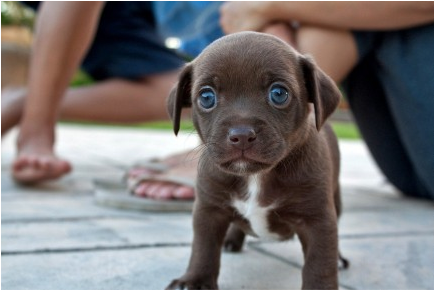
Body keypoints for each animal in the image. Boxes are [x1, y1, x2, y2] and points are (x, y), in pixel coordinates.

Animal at [168, 32, 346, 290]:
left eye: (279, 94)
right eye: (206, 97)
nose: (241, 134)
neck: (255, 176)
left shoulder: (318, 220)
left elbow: (320, 263)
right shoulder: (209, 210)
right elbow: (203, 249)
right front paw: (195, 280)